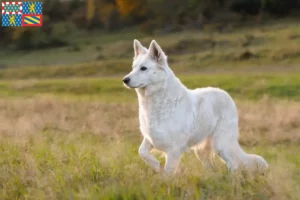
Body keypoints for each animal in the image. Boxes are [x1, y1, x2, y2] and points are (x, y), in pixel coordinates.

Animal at [123, 38, 268, 175]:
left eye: (143, 68)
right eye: (133, 67)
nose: (125, 80)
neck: (159, 100)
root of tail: (225, 94)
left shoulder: (173, 149)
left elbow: (168, 173)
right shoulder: (151, 138)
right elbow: (142, 151)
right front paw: (155, 165)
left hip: (221, 145)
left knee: (234, 164)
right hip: (202, 151)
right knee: (212, 167)